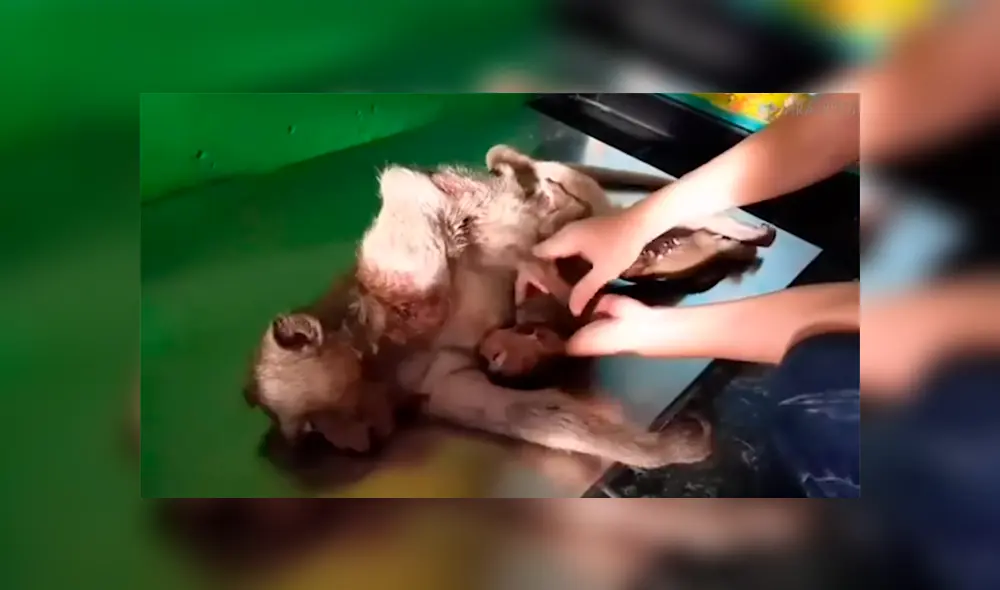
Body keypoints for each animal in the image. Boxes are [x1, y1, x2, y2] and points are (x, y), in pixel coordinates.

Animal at [245, 145, 727, 468]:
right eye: (316, 430)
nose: (352, 441)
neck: (382, 361)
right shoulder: (426, 381)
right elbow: (522, 413)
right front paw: (663, 450)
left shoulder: (393, 279)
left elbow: (411, 187)